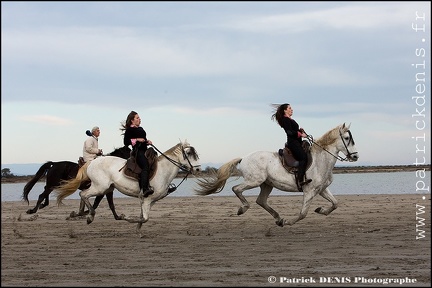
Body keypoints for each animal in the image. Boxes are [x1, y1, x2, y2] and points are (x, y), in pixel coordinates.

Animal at [55, 141, 201, 235]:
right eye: (189, 153)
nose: (198, 169)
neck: (163, 171)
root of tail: (92, 162)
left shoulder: (150, 200)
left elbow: (143, 217)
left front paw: (137, 230)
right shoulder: (147, 198)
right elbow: (144, 218)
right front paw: (127, 218)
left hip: (105, 189)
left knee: (85, 196)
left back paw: (81, 214)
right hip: (100, 187)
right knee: (84, 195)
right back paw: (89, 216)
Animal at [195, 122, 358, 226]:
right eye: (347, 138)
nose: (355, 156)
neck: (321, 160)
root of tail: (244, 157)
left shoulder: (322, 189)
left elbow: (335, 203)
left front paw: (321, 210)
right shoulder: (310, 191)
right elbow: (303, 213)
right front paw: (288, 222)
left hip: (267, 184)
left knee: (261, 200)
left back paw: (278, 218)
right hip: (254, 181)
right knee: (237, 189)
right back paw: (243, 209)